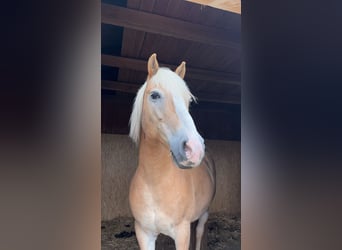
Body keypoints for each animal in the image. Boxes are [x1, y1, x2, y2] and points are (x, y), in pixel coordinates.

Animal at [130, 53, 215, 250]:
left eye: (189, 101)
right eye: (154, 95)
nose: (194, 148)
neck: (154, 184)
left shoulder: (182, 233)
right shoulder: (143, 233)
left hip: (205, 212)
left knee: (199, 232)